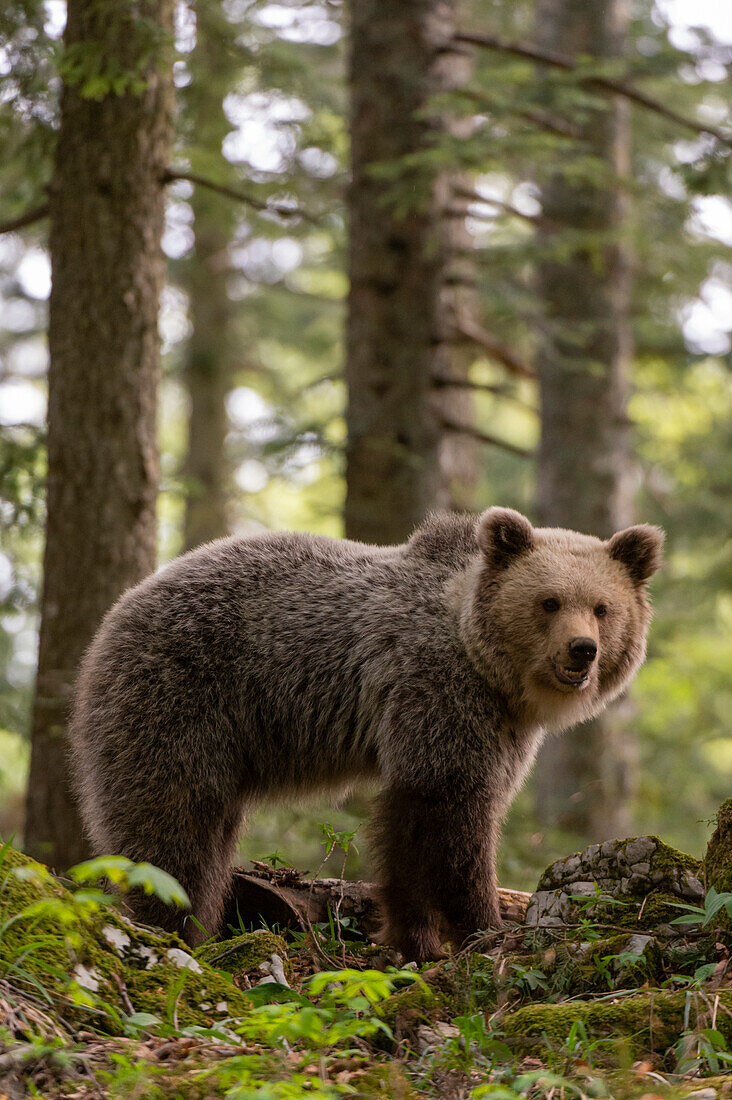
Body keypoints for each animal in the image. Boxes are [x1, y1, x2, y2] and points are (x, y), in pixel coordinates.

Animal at [69, 508, 660, 963]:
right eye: (549, 601)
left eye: (603, 607)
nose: (582, 650)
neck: (490, 670)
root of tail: (117, 611)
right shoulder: (438, 694)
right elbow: (449, 818)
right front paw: (484, 927)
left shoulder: (498, 729)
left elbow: (419, 832)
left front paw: (414, 937)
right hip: (182, 694)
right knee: (172, 818)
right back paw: (169, 927)